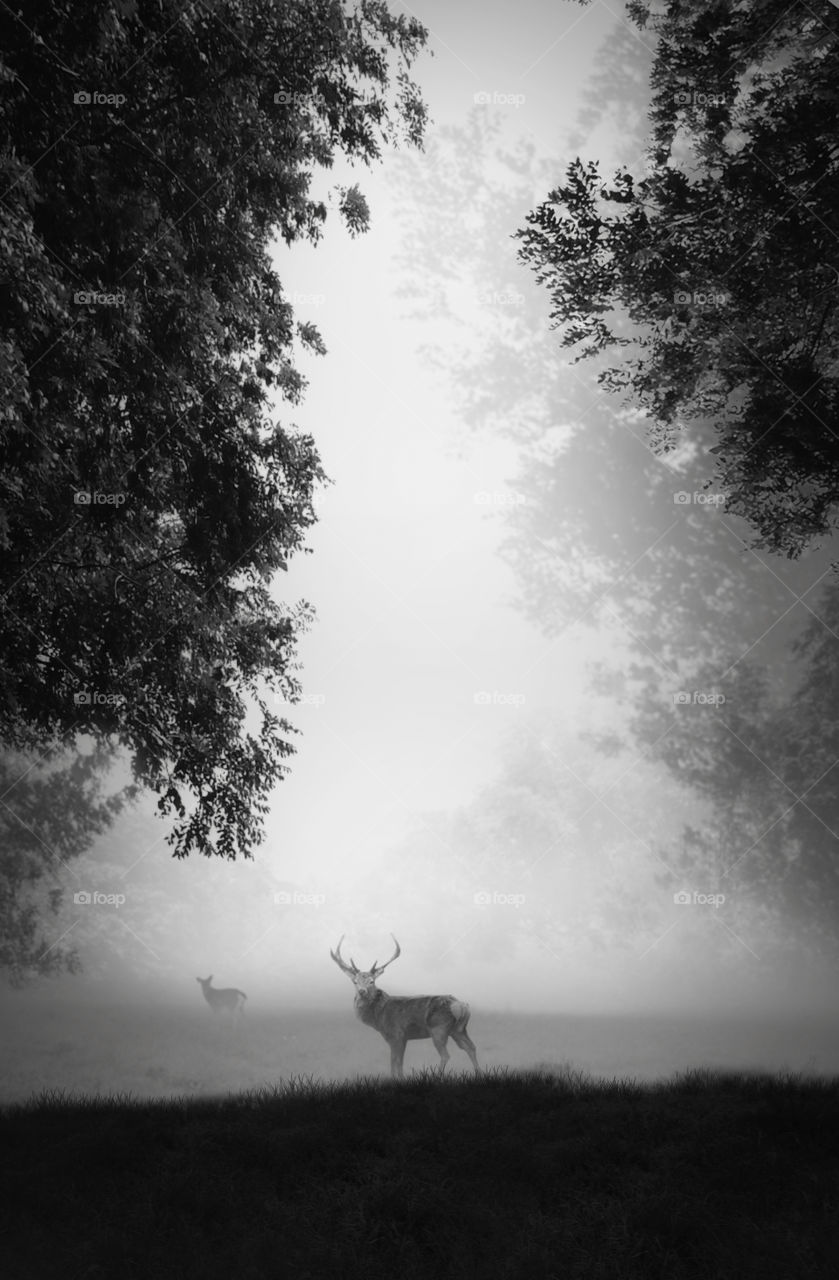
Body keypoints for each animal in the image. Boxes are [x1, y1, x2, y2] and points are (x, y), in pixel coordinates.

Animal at [330, 934, 480, 1079]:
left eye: (372, 981)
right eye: (355, 982)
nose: (362, 991)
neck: (378, 1017)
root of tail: (462, 1005)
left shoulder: (396, 1034)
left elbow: (395, 1062)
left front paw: (397, 1079)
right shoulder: (403, 1038)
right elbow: (399, 1062)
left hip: (439, 1029)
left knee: (446, 1055)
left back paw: (437, 1076)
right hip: (458, 1030)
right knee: (471, 1047)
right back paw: (478, 1073)